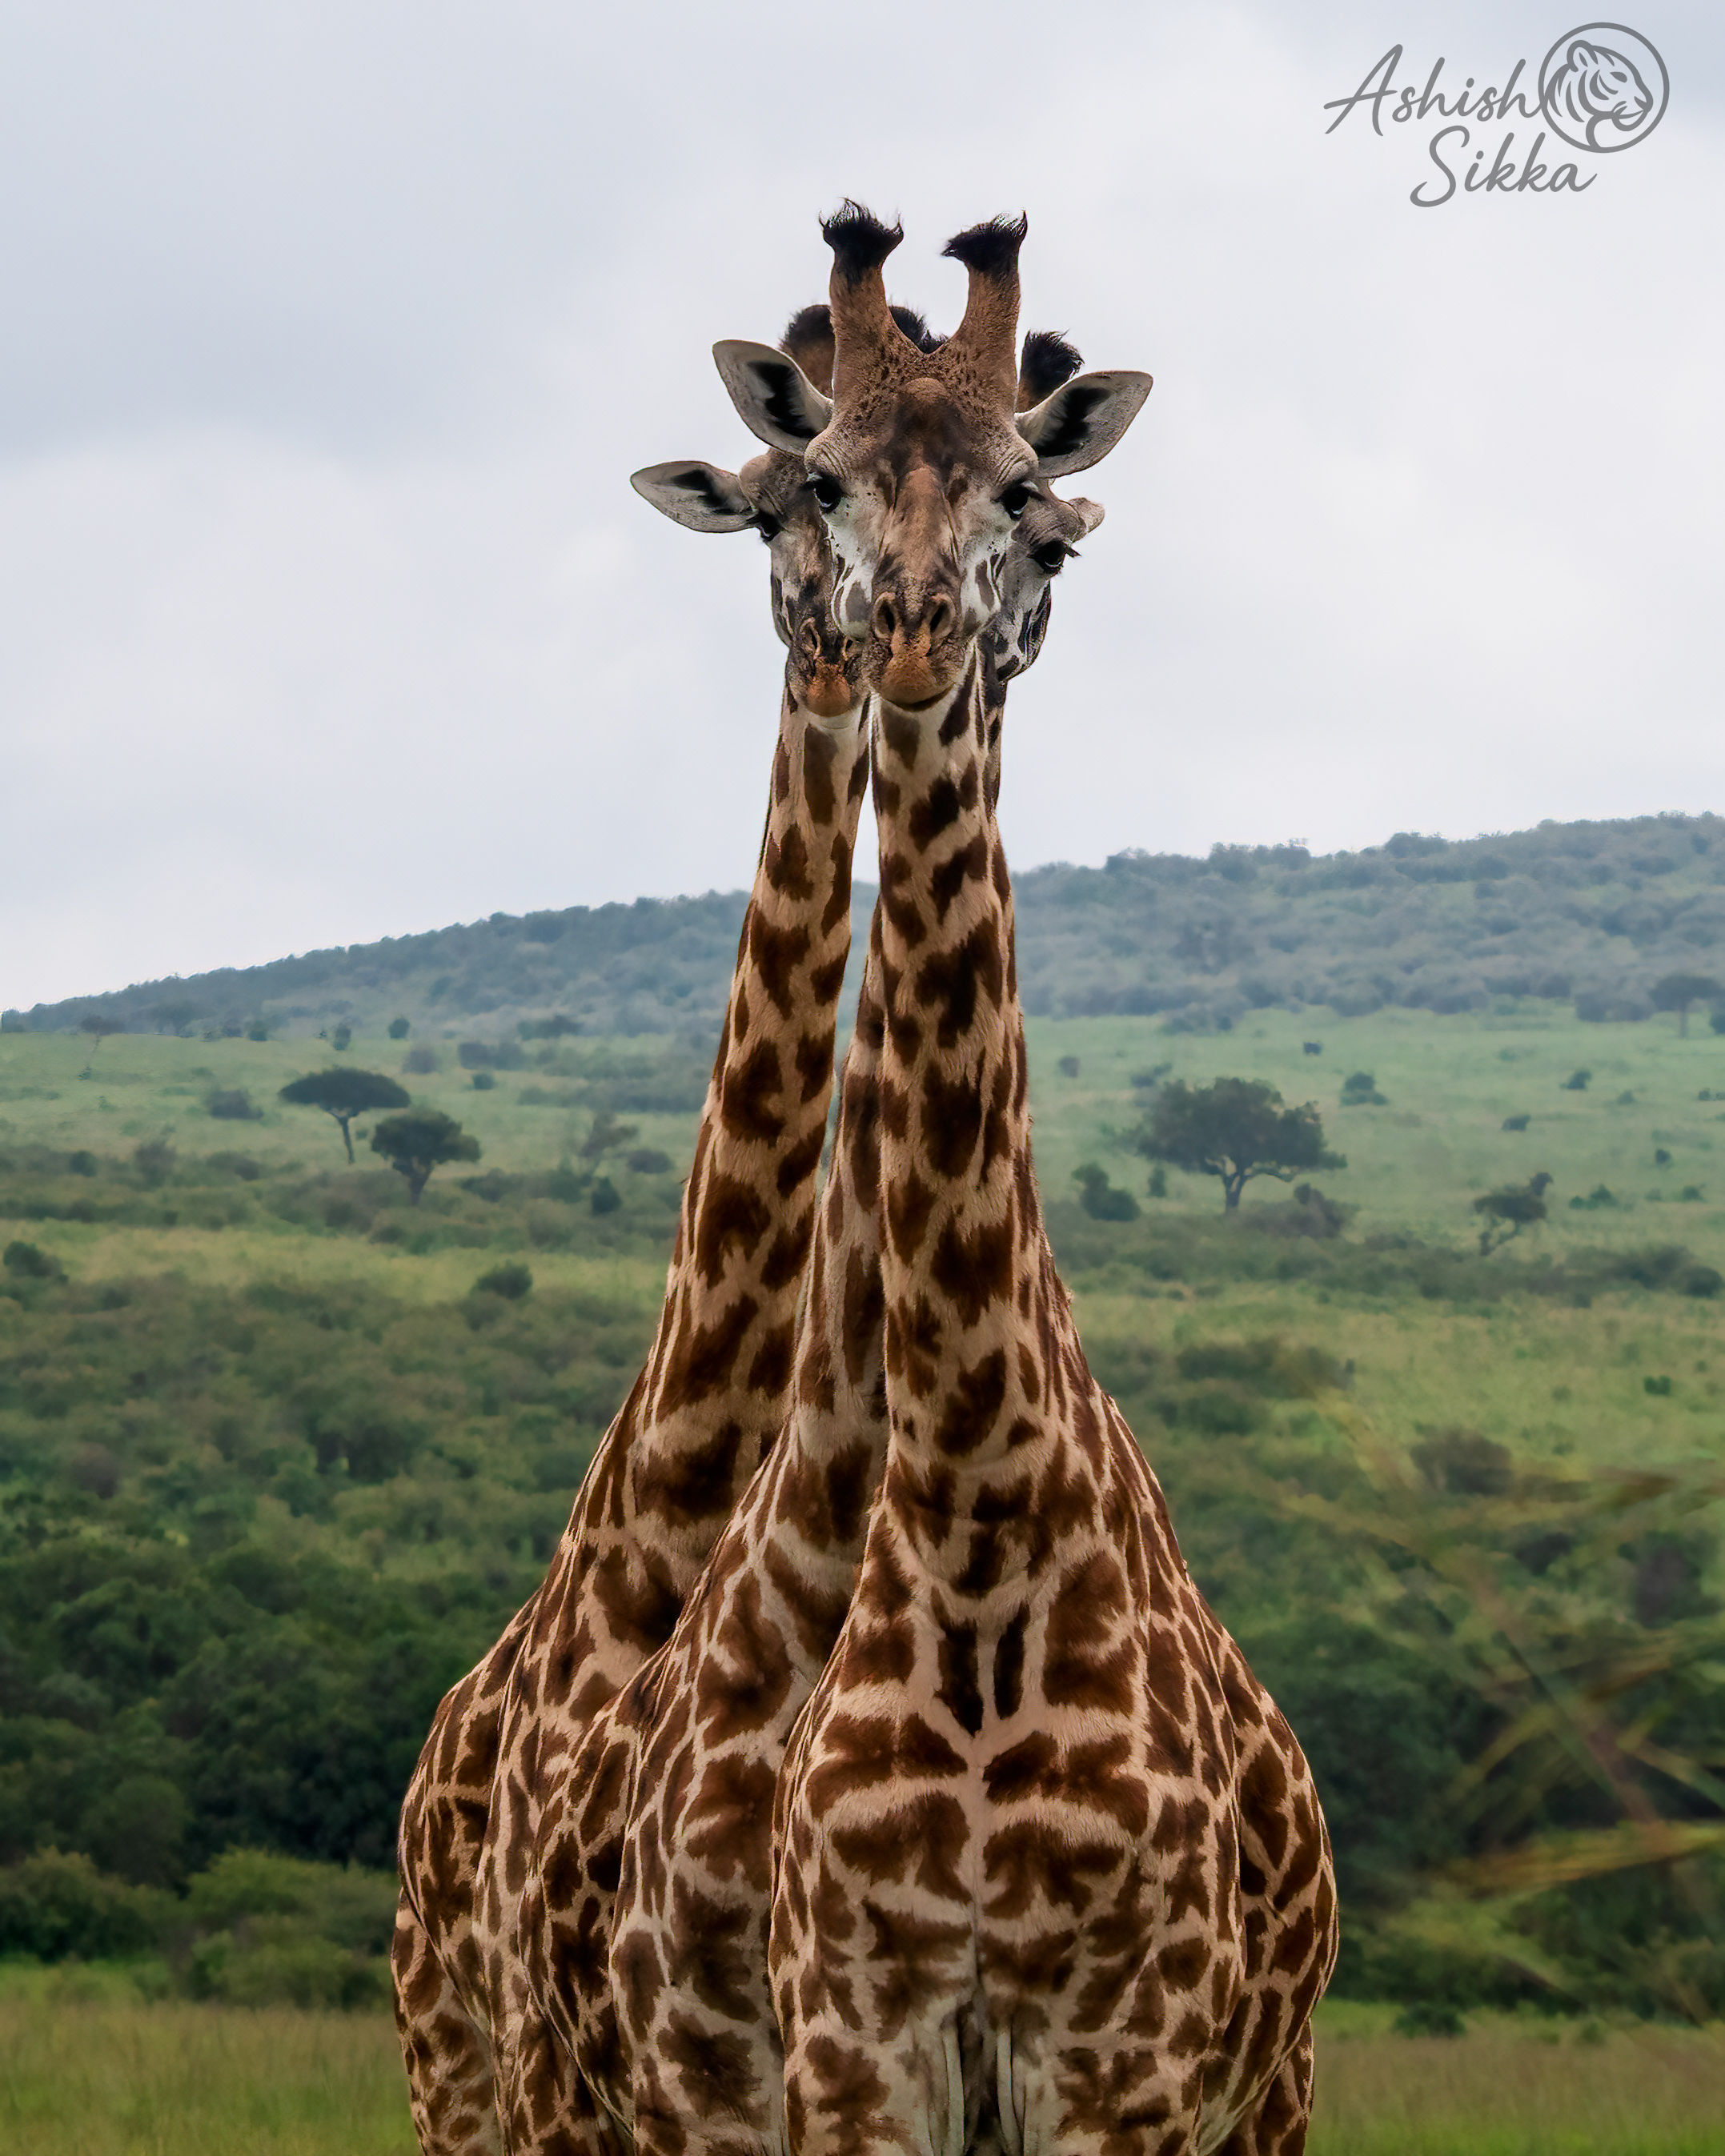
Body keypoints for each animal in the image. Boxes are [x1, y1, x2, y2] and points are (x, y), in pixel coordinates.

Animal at [765, 208, 1337, 2156]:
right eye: (829, 480)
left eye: (1032, 499)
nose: (910, 631)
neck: (970, 1531)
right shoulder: (859, 2044)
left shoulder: (1120, 2054)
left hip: (1267, 2088)